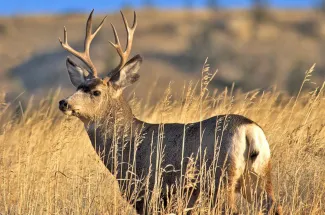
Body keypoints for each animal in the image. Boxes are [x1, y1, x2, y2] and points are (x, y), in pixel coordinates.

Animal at [57, 10, 280, 215]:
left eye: (96, 92)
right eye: (78, 87)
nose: (64, 103)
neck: (128, 144)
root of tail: (249, 129)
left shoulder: (149, 191)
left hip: (220, 178)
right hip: (258, 175)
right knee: (274, 206)